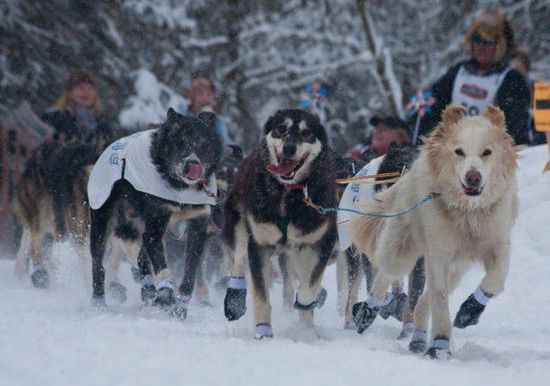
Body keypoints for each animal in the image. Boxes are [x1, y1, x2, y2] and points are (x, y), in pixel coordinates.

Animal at [223, 108, 336, 338]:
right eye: (281, 129)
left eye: (306, 133)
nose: (289, 148)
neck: (288, 193)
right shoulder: (259, 245)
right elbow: (261, 295)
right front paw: (263, 332)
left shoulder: (320, 242)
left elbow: (309, 287)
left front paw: (306, 327)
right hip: (238, 223)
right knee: (238, 258)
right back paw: (234, 300)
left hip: (294, 252)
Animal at [352, 105, 520, 358]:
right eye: (459, 151)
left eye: (487, 152)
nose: (473, 177)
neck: (468, 212)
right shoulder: (438, 253)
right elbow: (439, 298)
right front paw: (440, 343)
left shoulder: (497, 246)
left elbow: (495, 281)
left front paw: (470, 310)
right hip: (403, 248)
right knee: (386, 275)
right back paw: (367, 311)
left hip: (457, 268)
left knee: (422, 301)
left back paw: (418, 338)